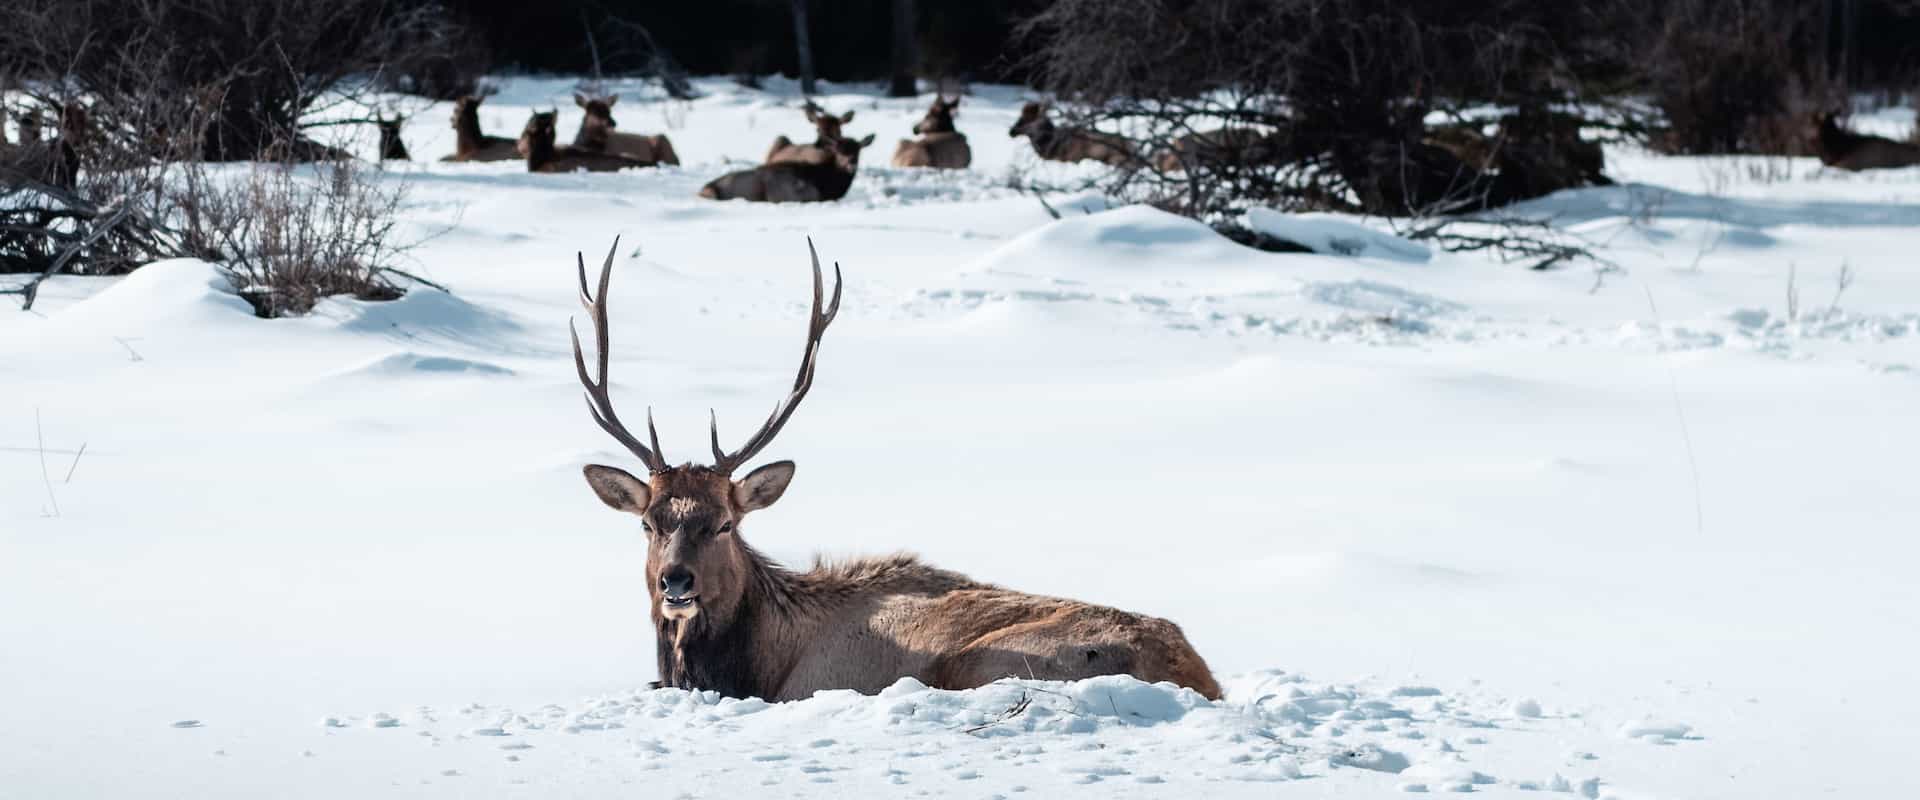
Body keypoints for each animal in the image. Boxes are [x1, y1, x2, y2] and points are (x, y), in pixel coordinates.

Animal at [567, 238, 1223, 702]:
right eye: (648, 523)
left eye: (727, 523)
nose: (675, 582)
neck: (753, 662)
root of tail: (1196, 672)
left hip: (979, 661)